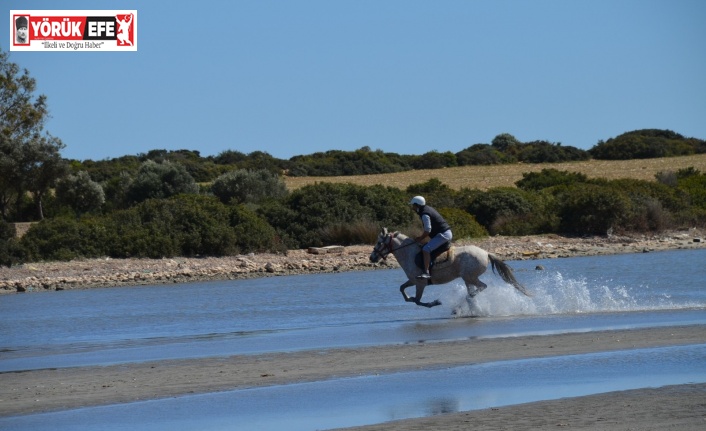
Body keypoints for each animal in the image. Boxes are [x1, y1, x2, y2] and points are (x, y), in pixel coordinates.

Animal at [368, 228, 528, 308]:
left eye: (379, 243)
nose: (371, 258)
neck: (409, 253)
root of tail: (486, 253)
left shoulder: (420, 283)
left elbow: (418, 301)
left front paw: (434, 303)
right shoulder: (413, 281)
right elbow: (402, 290)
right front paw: (409, 297)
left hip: (470, 277)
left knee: (481, 287)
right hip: (467, 278)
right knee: (474, 291)